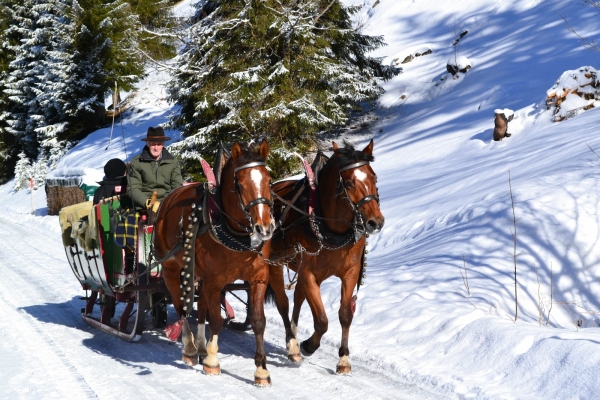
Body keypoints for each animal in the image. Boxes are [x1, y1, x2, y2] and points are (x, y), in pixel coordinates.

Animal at [155, 140, 276, 384]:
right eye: (240, 185)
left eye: (268, 180)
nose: (264, 228)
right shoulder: (215, 280)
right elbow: (216, 320)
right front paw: (212, 361)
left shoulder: (258, 278)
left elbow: (258, 321)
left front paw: (261, 370)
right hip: (171, 269)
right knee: (181, 305)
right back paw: (190, 348)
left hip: (197, 274)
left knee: (200, 307)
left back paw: (201, 347)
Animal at [268, 139, 384, 374]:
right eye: (348, 183)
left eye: (374, 177)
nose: (375, 222)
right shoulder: (309, 273)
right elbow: (321, 320)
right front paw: (308, 345)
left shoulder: (350, 272)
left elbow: (345, 315)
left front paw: (344, 359)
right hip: (275, 262)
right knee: (283, 303)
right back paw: (293, 345)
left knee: (298, 298)